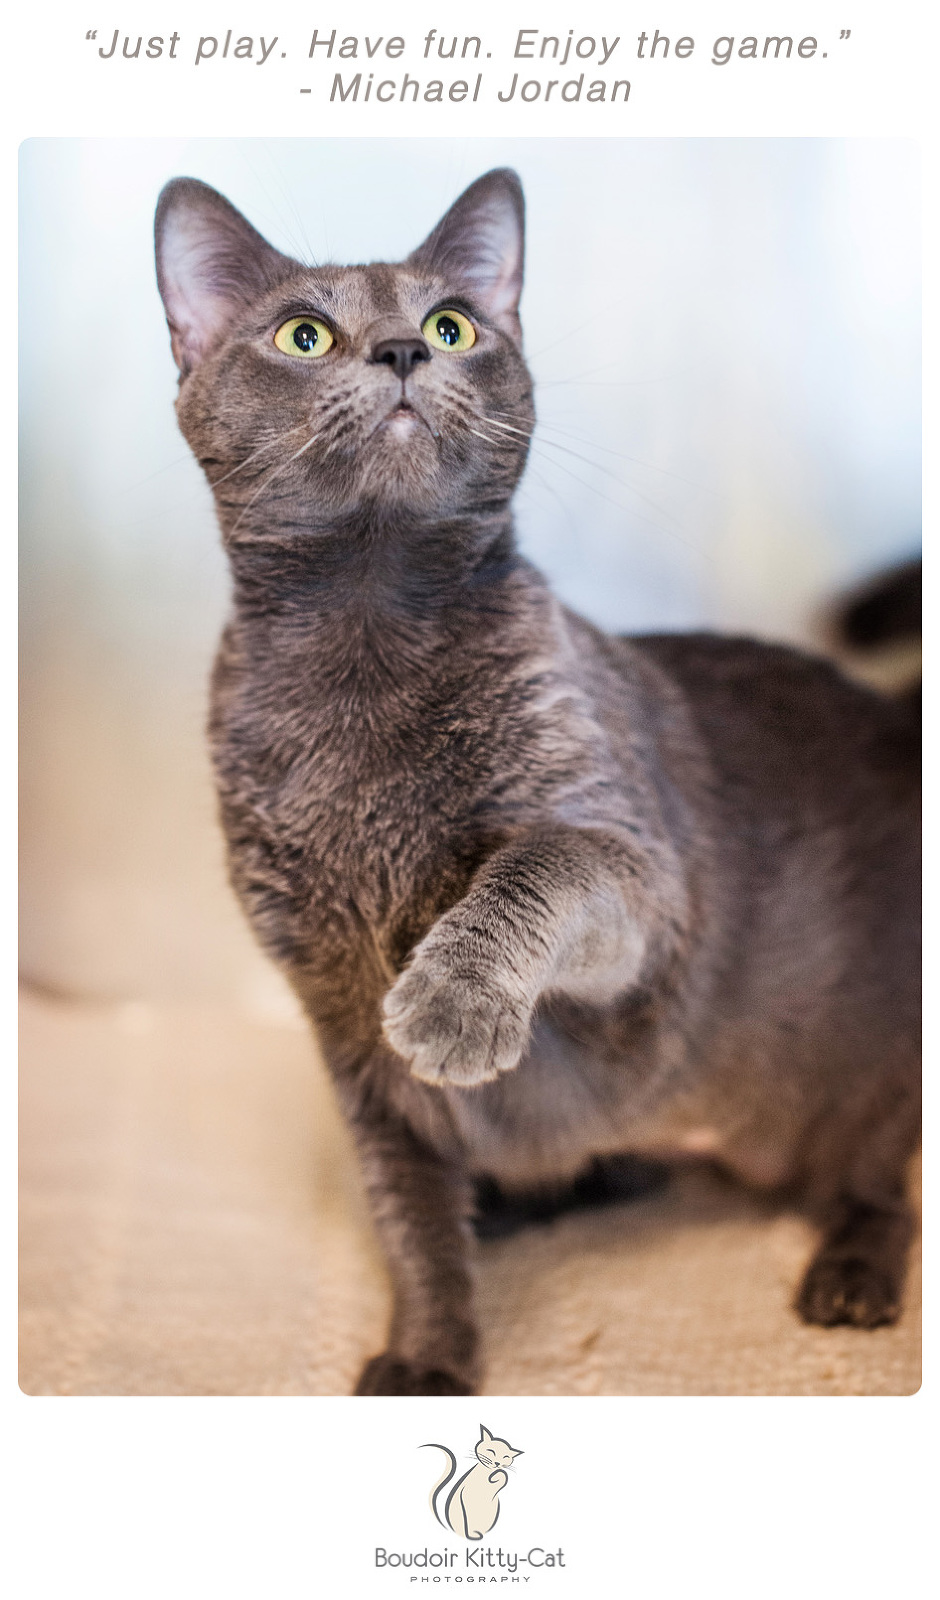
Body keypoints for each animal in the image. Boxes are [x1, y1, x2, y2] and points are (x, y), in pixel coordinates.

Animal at [152, 162, 920, 1388]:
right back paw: (524, 1200)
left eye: (452, 325)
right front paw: (426, 1355)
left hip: (867, 1080)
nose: (401, 352)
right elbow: (405, 1215)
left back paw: (846, 1275)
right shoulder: (339, 1031)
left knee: (879, 1188)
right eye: (303, 334)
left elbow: (535, 866)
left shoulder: (640, 874)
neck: (366, 651)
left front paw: (453, 1006)